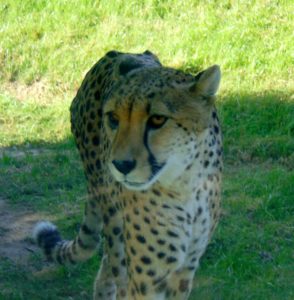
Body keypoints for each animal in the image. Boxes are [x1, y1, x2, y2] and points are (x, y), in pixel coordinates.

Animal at [34, 50, 223, 298]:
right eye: (113, 118)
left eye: (158, 119)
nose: (121, 165)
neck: (185, 183)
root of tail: (117, 53)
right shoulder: (149, 278)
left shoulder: (185, 270)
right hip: (114, 224)